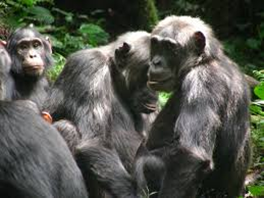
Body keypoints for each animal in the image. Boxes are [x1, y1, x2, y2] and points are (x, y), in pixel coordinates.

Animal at [43, 31, 159, 198]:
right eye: (148, 75)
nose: (154, 92)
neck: (113, 72)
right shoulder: (90, 68)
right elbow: (96, 142)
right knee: (67, 129)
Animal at [140, 15, 250, 198]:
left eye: (169, 47)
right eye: (156, 44)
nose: (156, 62)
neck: (203, 61)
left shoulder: (201, 84)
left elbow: (191, 156)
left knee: (146, 161)